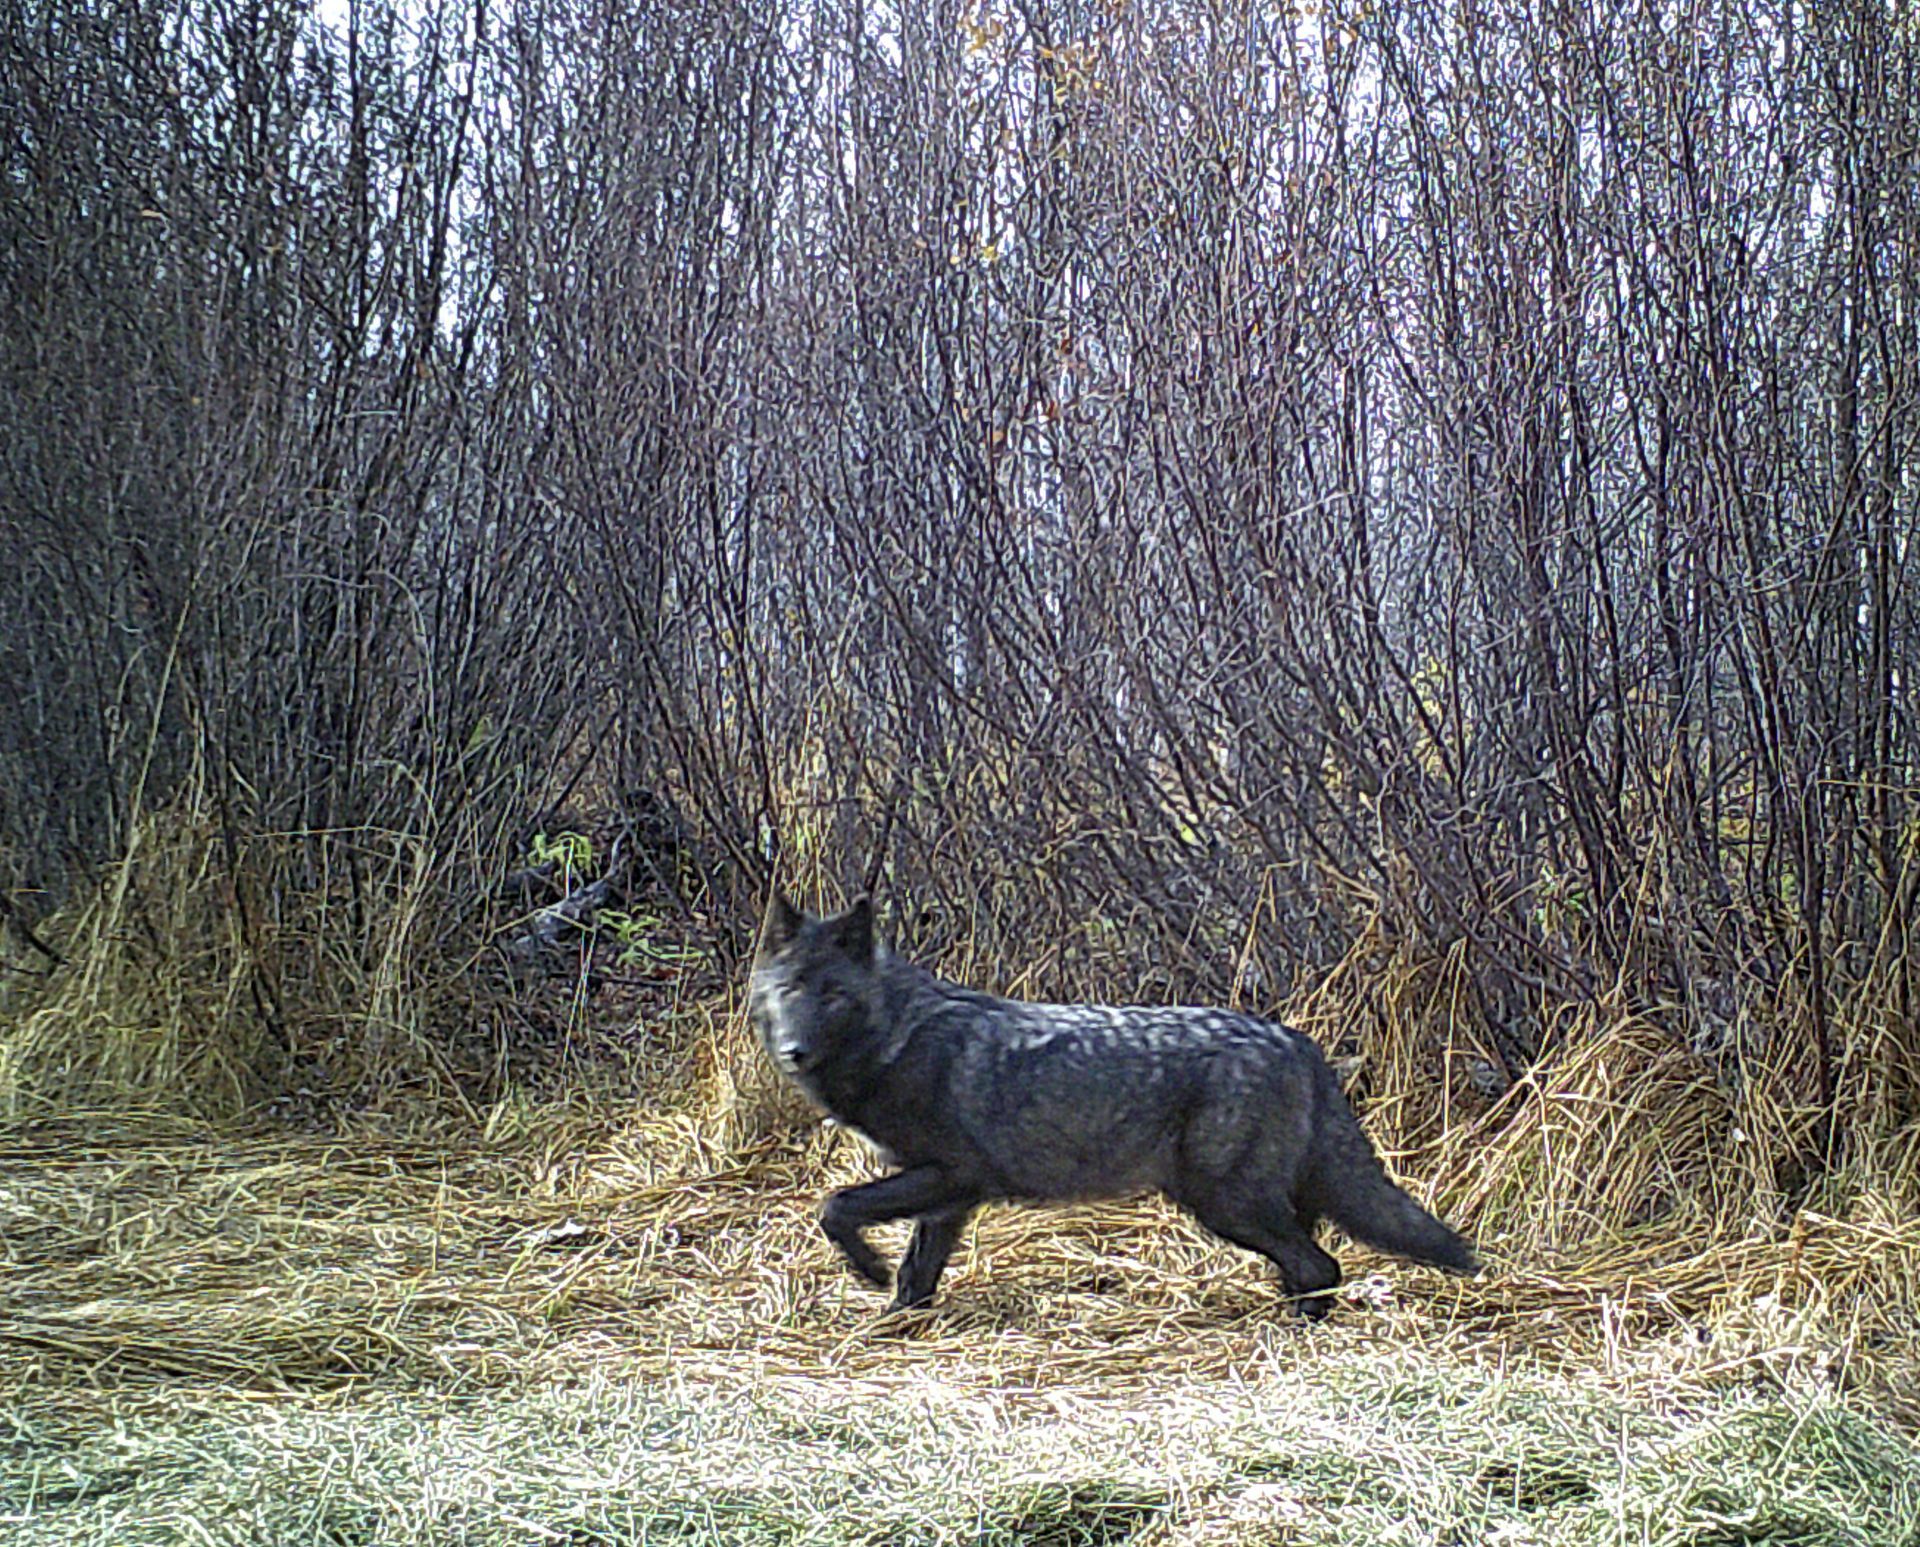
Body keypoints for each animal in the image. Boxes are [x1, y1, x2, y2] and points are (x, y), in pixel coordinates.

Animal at [749, 894, 1480, 1318]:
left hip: (1224, 1205)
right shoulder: (948, 1197)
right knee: (1314, 1265)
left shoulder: (950, 1175)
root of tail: (1297, 1041)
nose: (793, 1051)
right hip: (1248, 1204)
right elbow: (915, 1274)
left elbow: (836, 1206)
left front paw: (866, 1270)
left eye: (832, 994)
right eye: (790, 989)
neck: (896, 1038)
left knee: (1320, 1266)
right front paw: (894, 1323)